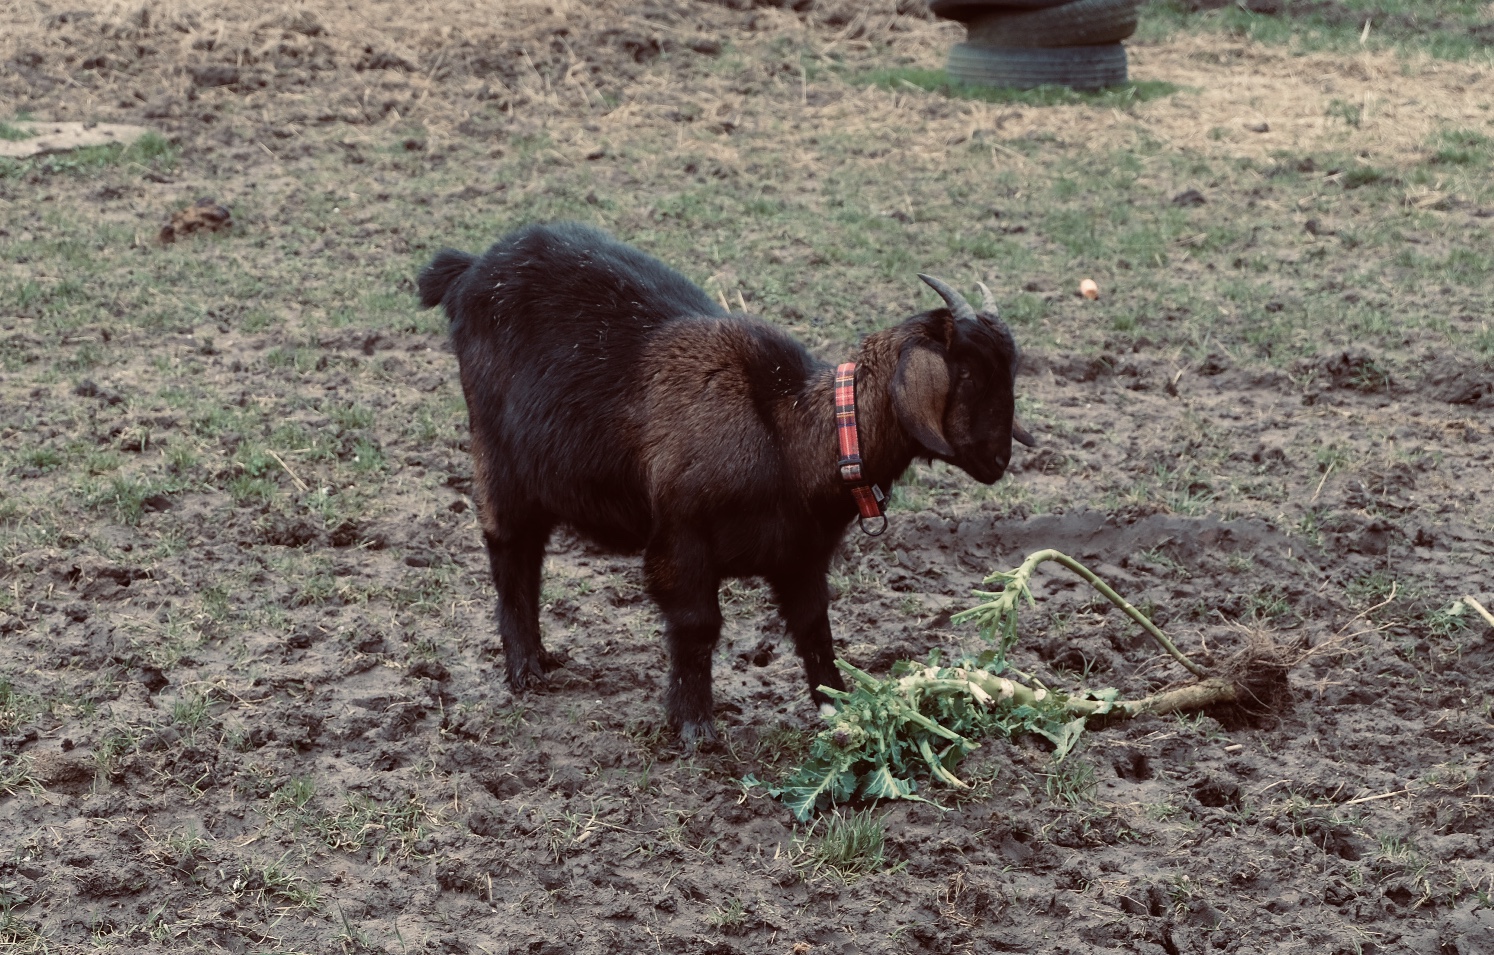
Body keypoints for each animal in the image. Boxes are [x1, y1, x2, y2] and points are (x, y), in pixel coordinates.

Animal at [418, 222, 1031, 745]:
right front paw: (695, 726)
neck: (788, 434)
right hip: (498, 457)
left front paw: (841, 706)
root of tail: (469, 269)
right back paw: (524, 669)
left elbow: (815, 628)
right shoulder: (680, 540)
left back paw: (542, 658)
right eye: (968, 372)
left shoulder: (800, 556)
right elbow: (698, 625)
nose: (999, 458)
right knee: (510, 549)